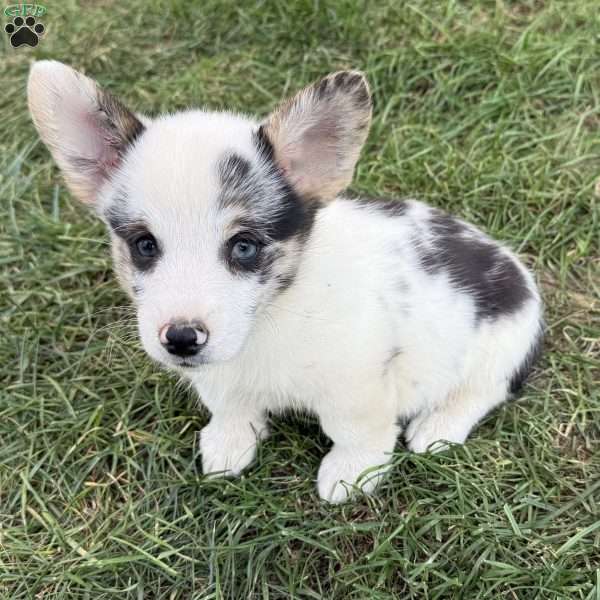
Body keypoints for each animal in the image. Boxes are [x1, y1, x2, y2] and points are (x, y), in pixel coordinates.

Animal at [28, 59, 544, 502]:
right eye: (144, 245)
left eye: (244, 246)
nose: (181, 339)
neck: (271, 317)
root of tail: (512, 265)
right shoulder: (223, 379)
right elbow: (231, 408)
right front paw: (228, 444)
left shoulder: (358, 385)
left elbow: (356, 431)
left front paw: (352, 473)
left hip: (499, 347)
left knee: (483, 391)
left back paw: (437, 428)